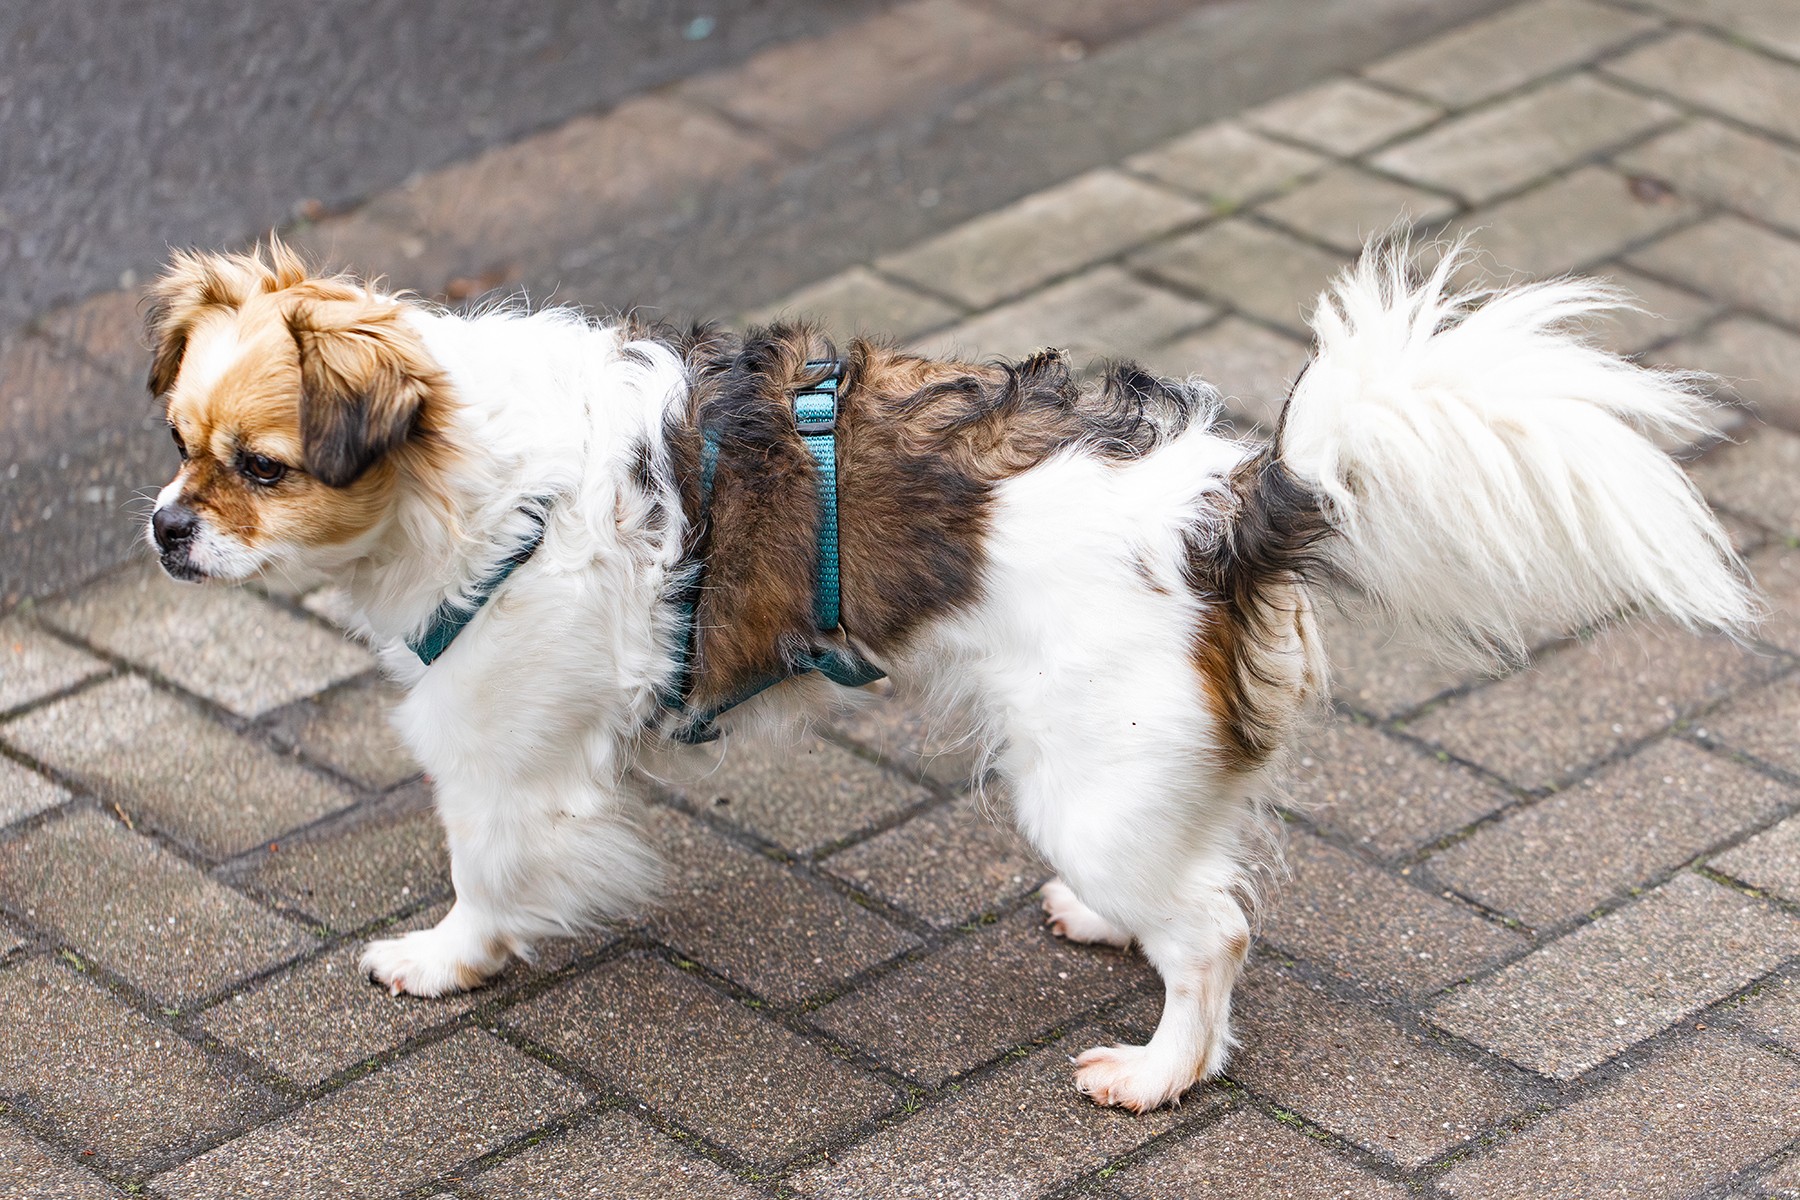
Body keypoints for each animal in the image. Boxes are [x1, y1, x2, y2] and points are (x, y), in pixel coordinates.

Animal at [142, 238, 1755, 1112]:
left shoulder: (500, 751)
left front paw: (441, 962)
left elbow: (481, 877)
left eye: (261, 470)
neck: (463, 466)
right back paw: (1111, 925)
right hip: (1130, 779)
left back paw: (1162, 1070)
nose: (161, 529)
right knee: (1199, 873)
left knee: (1216, 932)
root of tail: (1234, 502)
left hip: (1083, 776)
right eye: (173, 441)